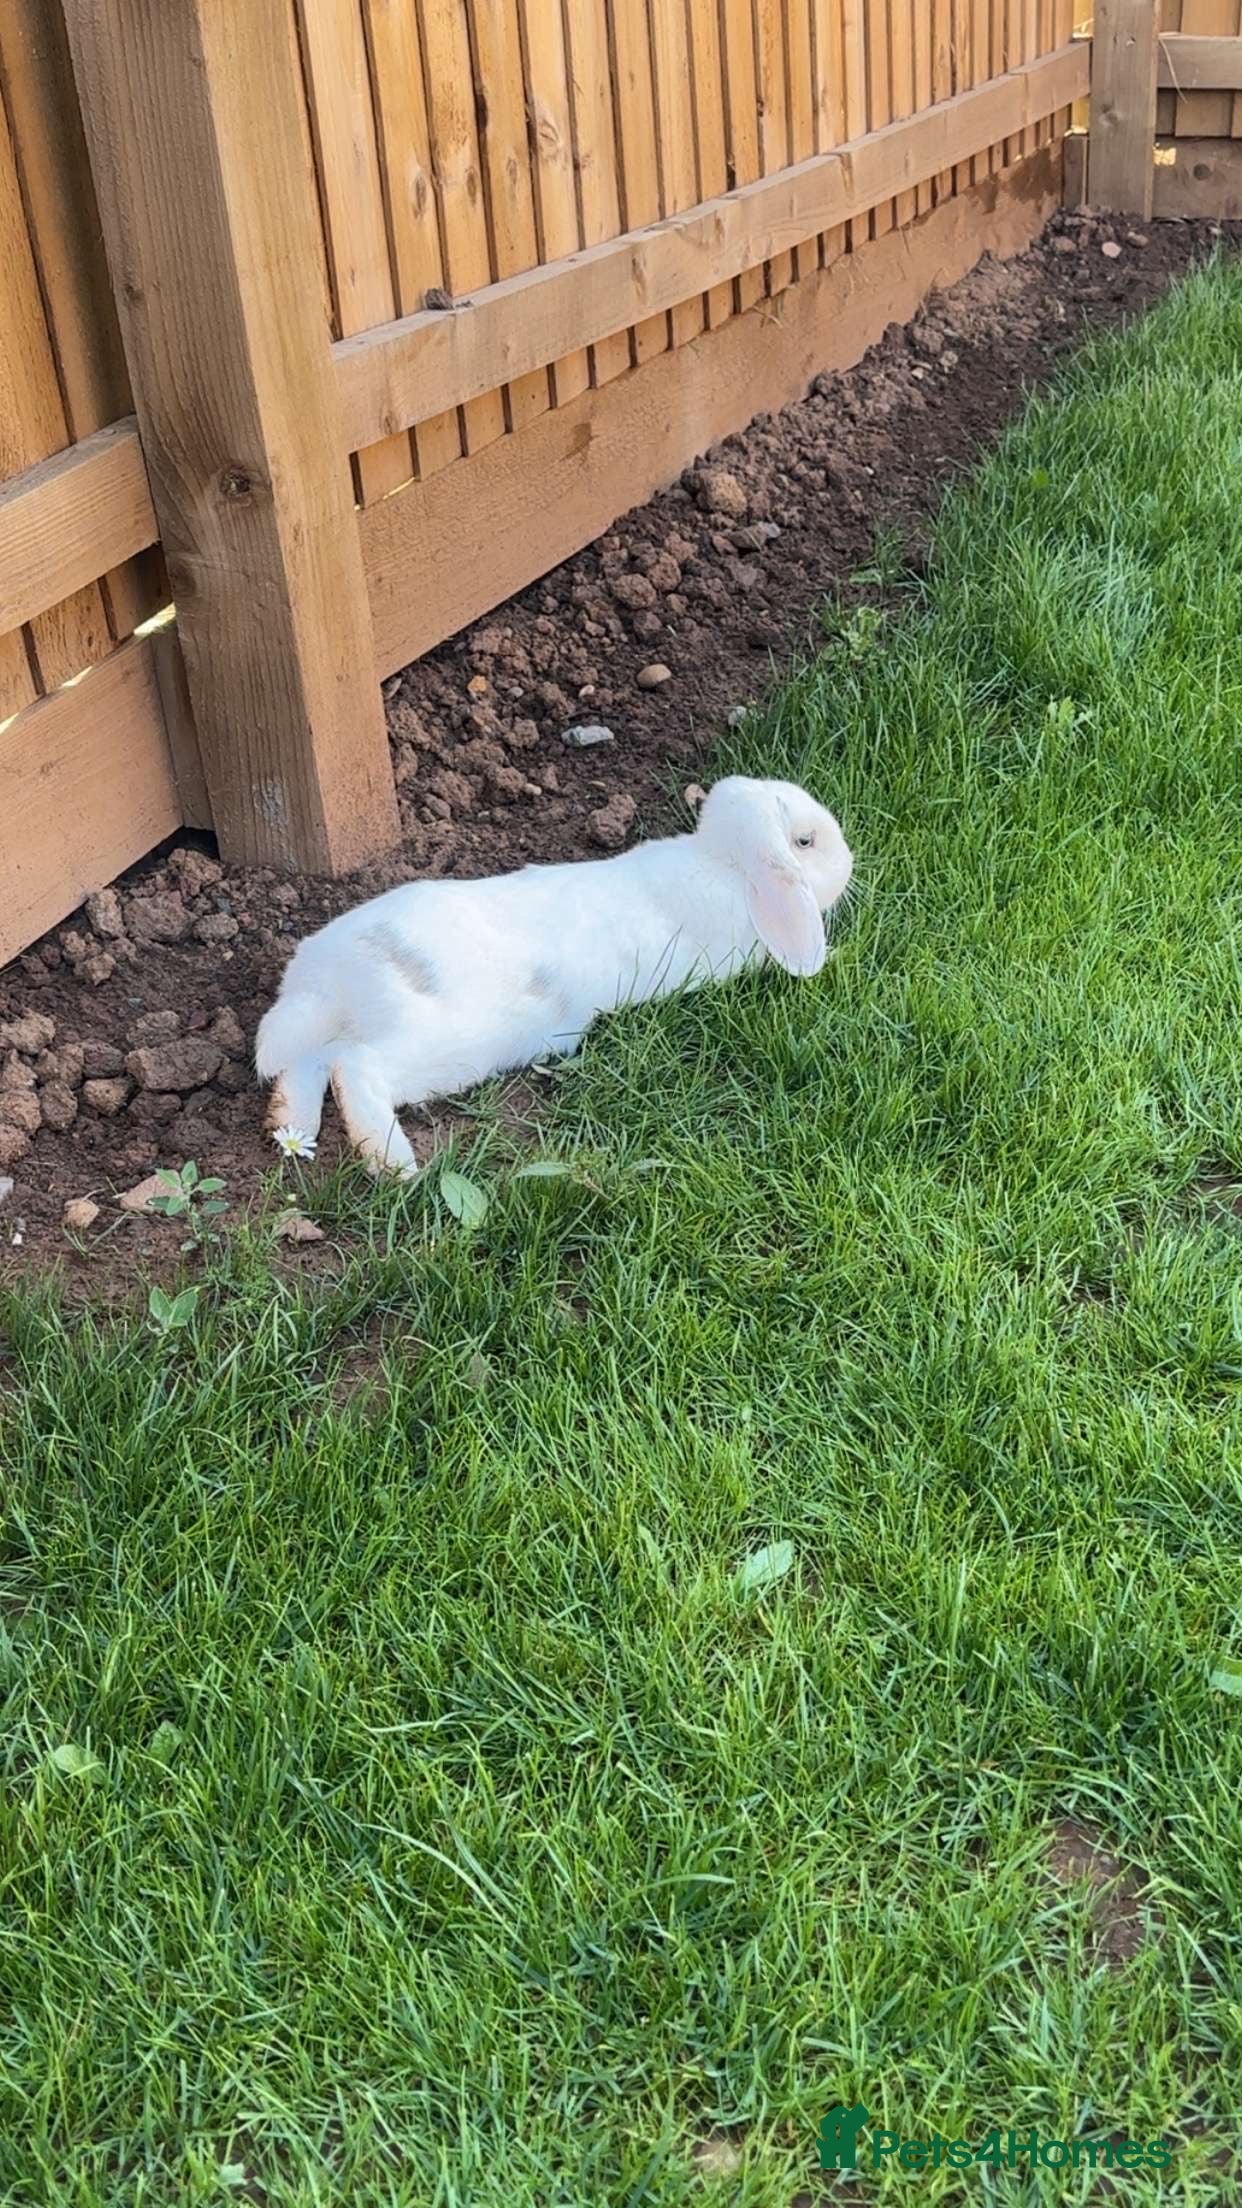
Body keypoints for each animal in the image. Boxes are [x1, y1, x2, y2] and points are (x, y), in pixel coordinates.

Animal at [255, 775, 853, 1176]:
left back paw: (291, 1126)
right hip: (438, 1047)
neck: (722, 862)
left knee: (307, 1063)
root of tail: (334, 977)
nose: (849, 861)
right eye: (805, 842)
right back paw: (393, 1164)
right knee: (353, 1069)